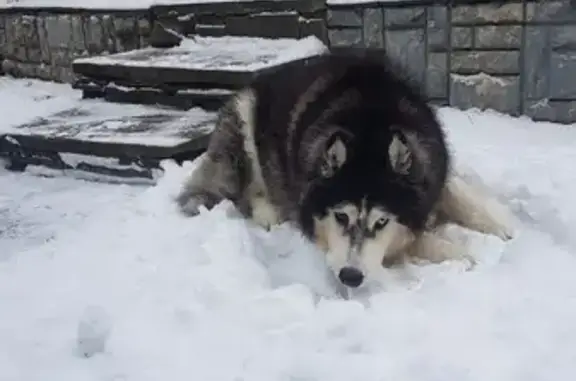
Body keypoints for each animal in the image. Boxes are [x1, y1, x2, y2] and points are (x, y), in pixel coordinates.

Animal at [174, 47, 512, 286]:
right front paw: (461, 255)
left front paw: (506, 226)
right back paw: (267, 211)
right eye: (340, 216)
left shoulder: (433, 171)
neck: (370, 122)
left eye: (381, 222)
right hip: (244, 124)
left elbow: (462, 196)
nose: (351, 277)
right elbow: (416, 242)